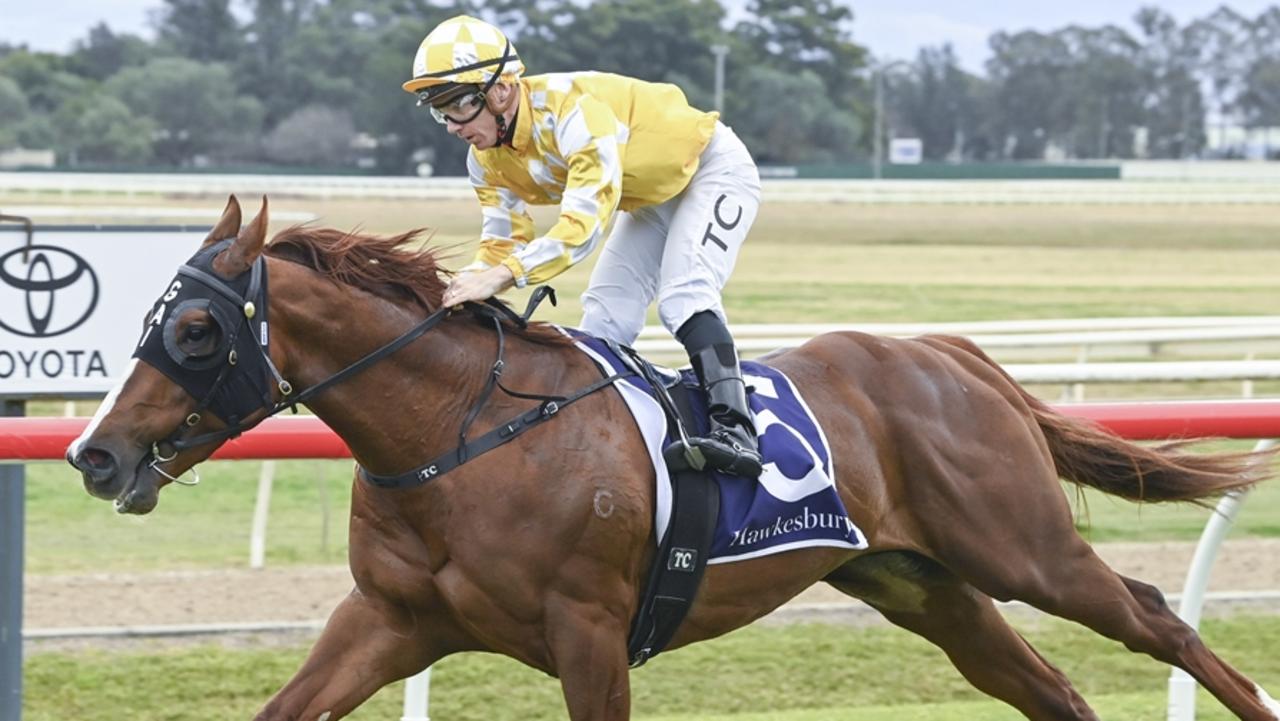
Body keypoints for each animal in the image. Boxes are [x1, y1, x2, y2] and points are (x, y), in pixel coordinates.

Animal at [67, 194, 1280, 717]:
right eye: (152, 319)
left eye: (195, 330)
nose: (94, 455)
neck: (457, 436)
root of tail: (948, 351)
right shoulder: (389, 622)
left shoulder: (589, 632)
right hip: (920, 581)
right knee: (1044, 685)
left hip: (1020, 546)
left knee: (1155, 617)